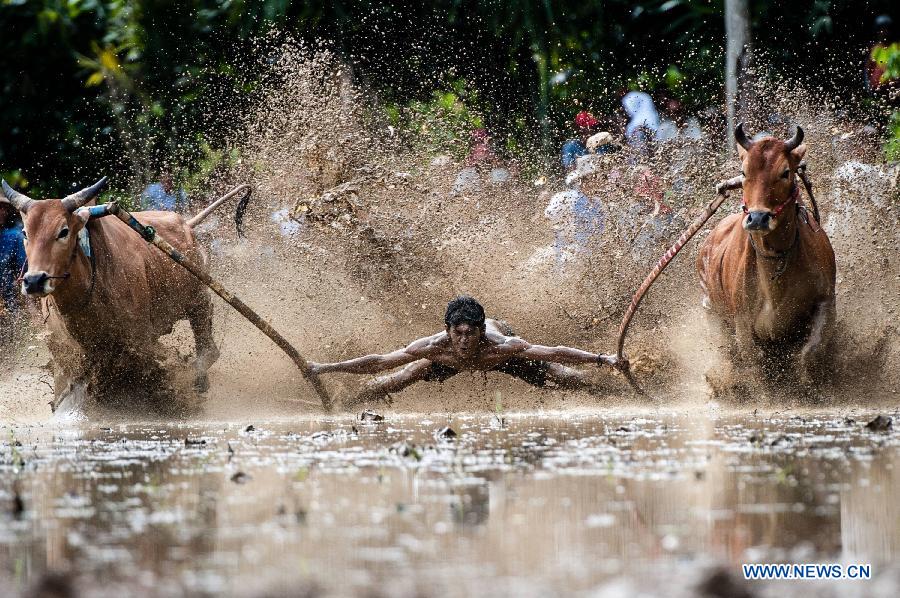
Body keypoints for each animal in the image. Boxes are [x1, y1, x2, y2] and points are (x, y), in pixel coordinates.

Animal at [1, 176, 225, 396]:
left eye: (63, 231)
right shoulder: (66, 357)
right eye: (25, 233)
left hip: (199, 301)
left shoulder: (141, 341)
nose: (34, 281)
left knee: (209, 350)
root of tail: (186, 225)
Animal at [696, 126, 836, 390]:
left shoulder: (826, 300)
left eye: (785, 172)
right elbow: (754, 362)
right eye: (744, 171)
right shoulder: (742, 321)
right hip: (713, 311)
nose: (758, 218)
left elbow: (810, 352)